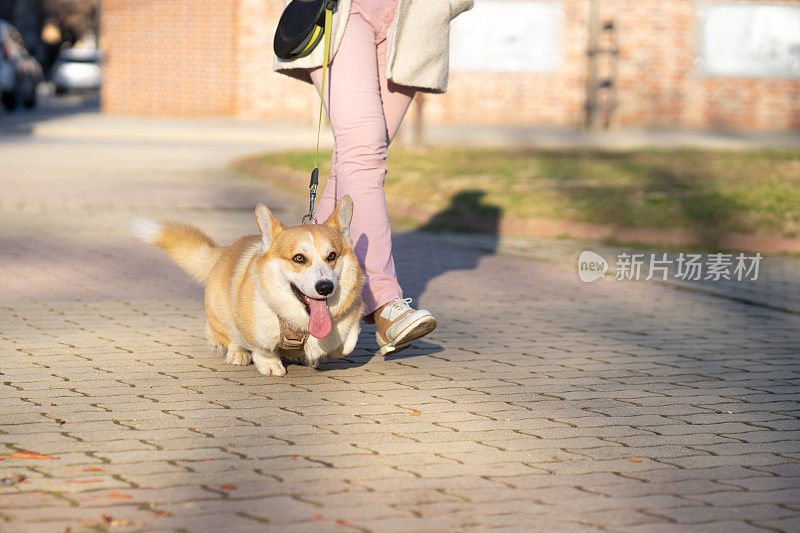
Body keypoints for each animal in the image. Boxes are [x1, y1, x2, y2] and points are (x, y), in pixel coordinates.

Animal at [133, 195, 364, 374]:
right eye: (299, 258)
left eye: (332, 256)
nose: (325, 287)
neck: (299, 322)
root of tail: (225, 250)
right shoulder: (253, 326)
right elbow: (261, 347)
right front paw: (270, 365)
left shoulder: (351, 315)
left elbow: (346, 344)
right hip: (220, 313)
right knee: (230, 336)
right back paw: (239, 354)